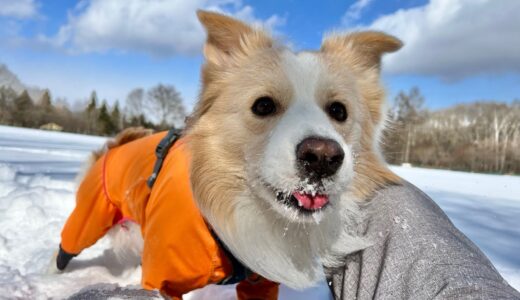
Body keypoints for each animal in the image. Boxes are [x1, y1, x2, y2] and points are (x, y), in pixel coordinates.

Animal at [53, 9, 402, 300]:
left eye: (339, 111)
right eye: (263, 105)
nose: (322, 157)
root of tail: (114, 146)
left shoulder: (260, 282)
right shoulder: (163, 278)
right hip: (89, 218)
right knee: (65, 248)